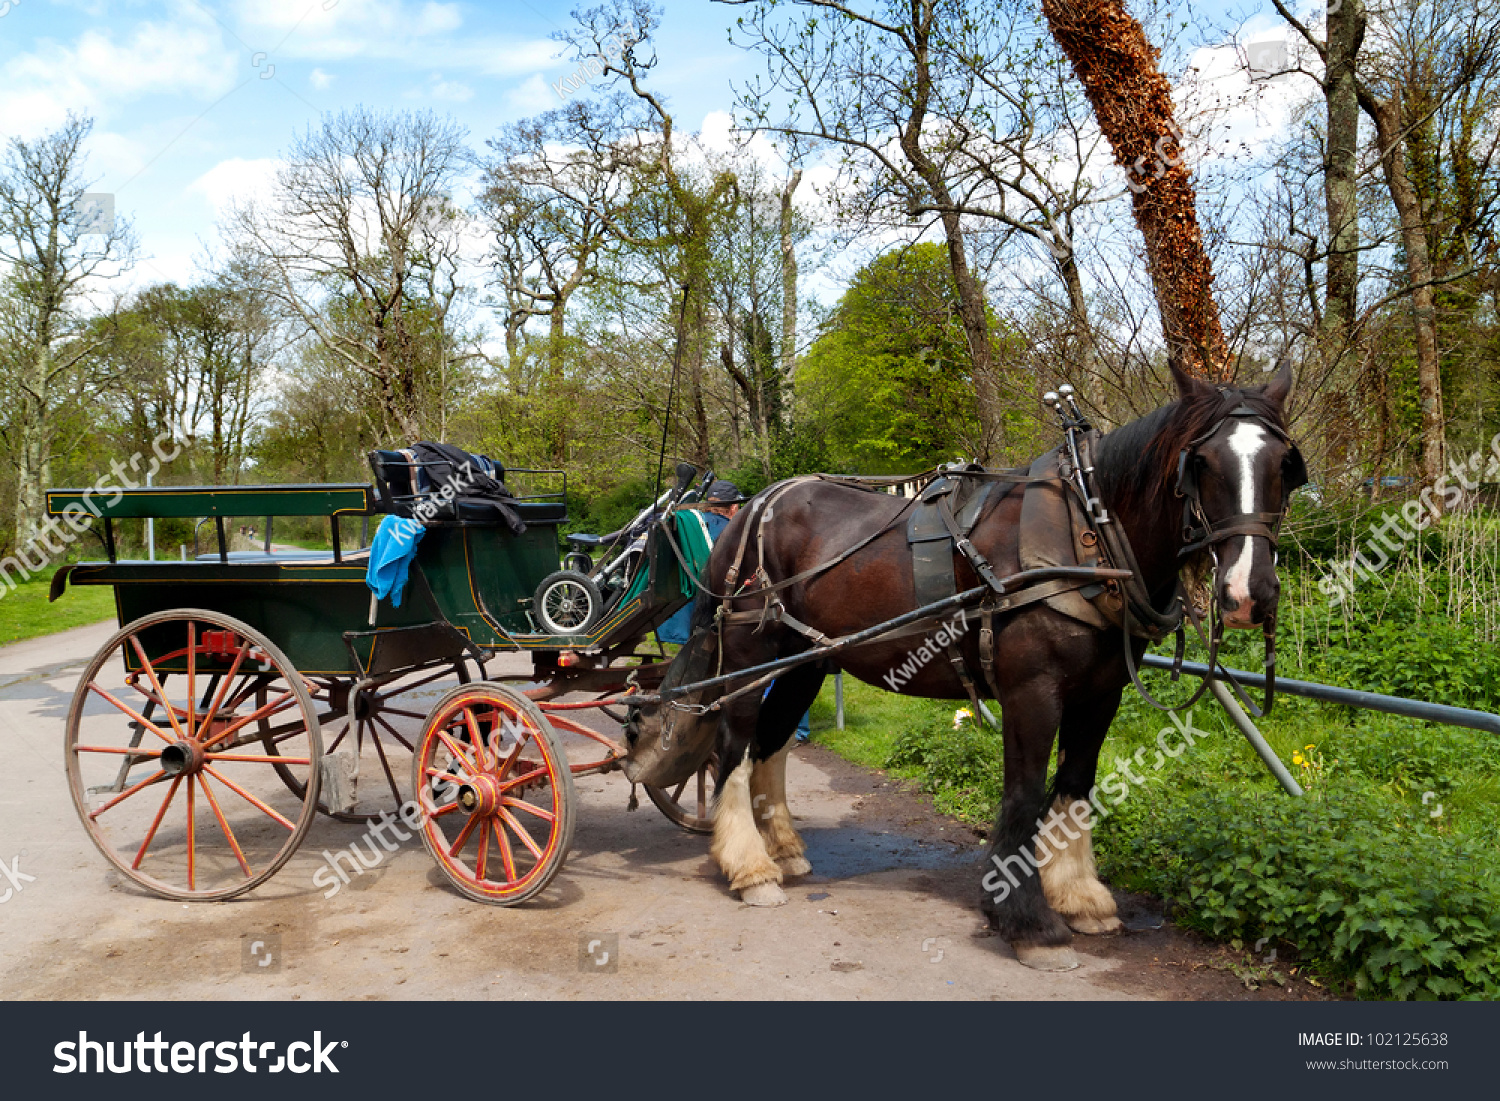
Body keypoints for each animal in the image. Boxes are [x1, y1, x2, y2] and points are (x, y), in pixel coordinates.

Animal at [621, 364, 1302, 972]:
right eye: (1201, 463)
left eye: (1282, 466)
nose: (1249, 594)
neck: (1086, 531)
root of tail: (753, 507)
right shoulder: (1032, 691)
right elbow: (1024, 796)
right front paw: (1027, 923)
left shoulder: (1101, 693)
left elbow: (1075, 786)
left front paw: (1081, 897)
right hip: (746, 656)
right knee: (733, 745)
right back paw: (749, 867)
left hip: (804, 662)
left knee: (771, 741)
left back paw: (782, 850)